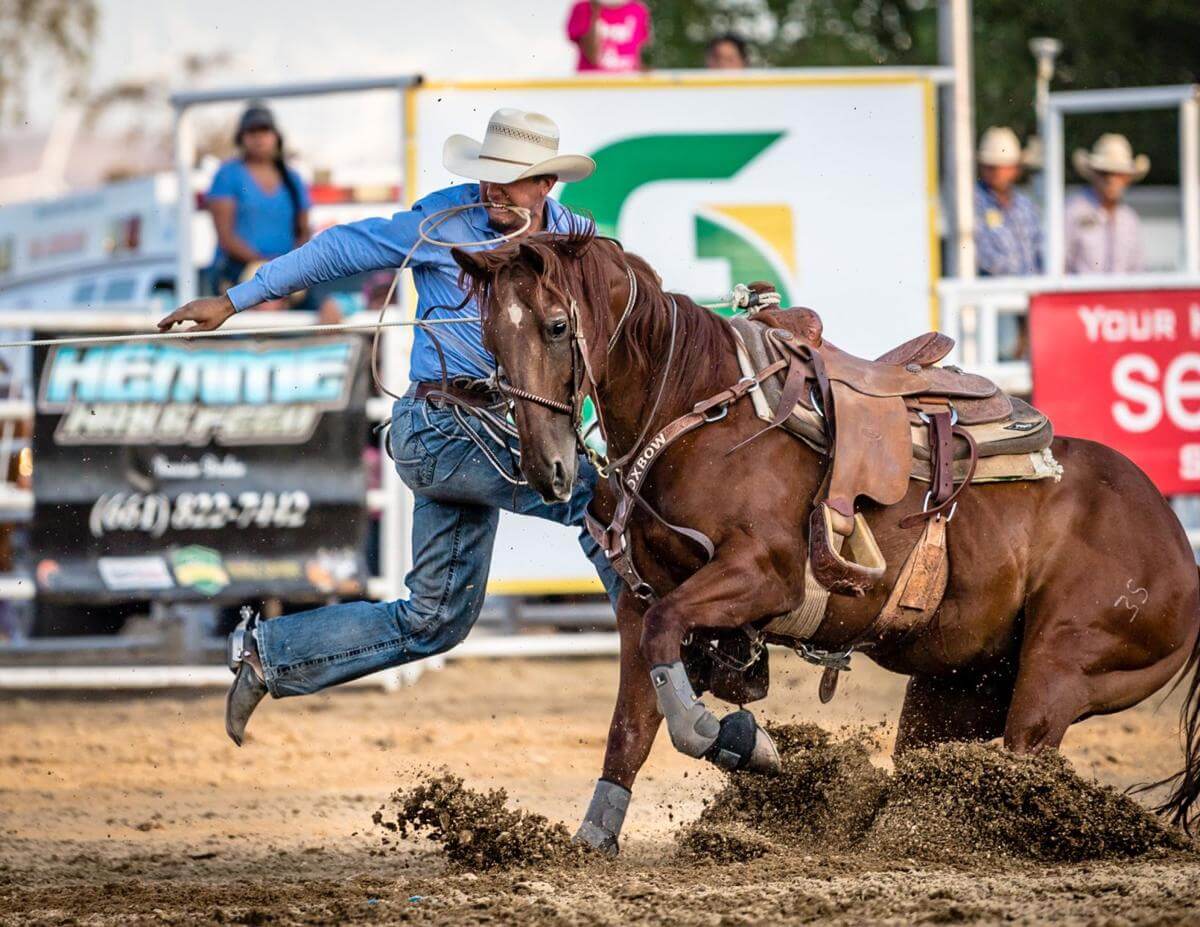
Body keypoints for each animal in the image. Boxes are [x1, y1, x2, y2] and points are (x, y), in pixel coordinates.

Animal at [451, 231, 1200, 854]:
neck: (695, 414)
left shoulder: (761, 577)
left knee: (1022, 756)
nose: (546, 468)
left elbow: (675, 660)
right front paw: (591, 840)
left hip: (1061, 670)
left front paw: (738, 741)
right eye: (489, 337)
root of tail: (1177, 543)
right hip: (954, 689)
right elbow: (629, 727)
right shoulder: (639, 603)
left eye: (556, 326)